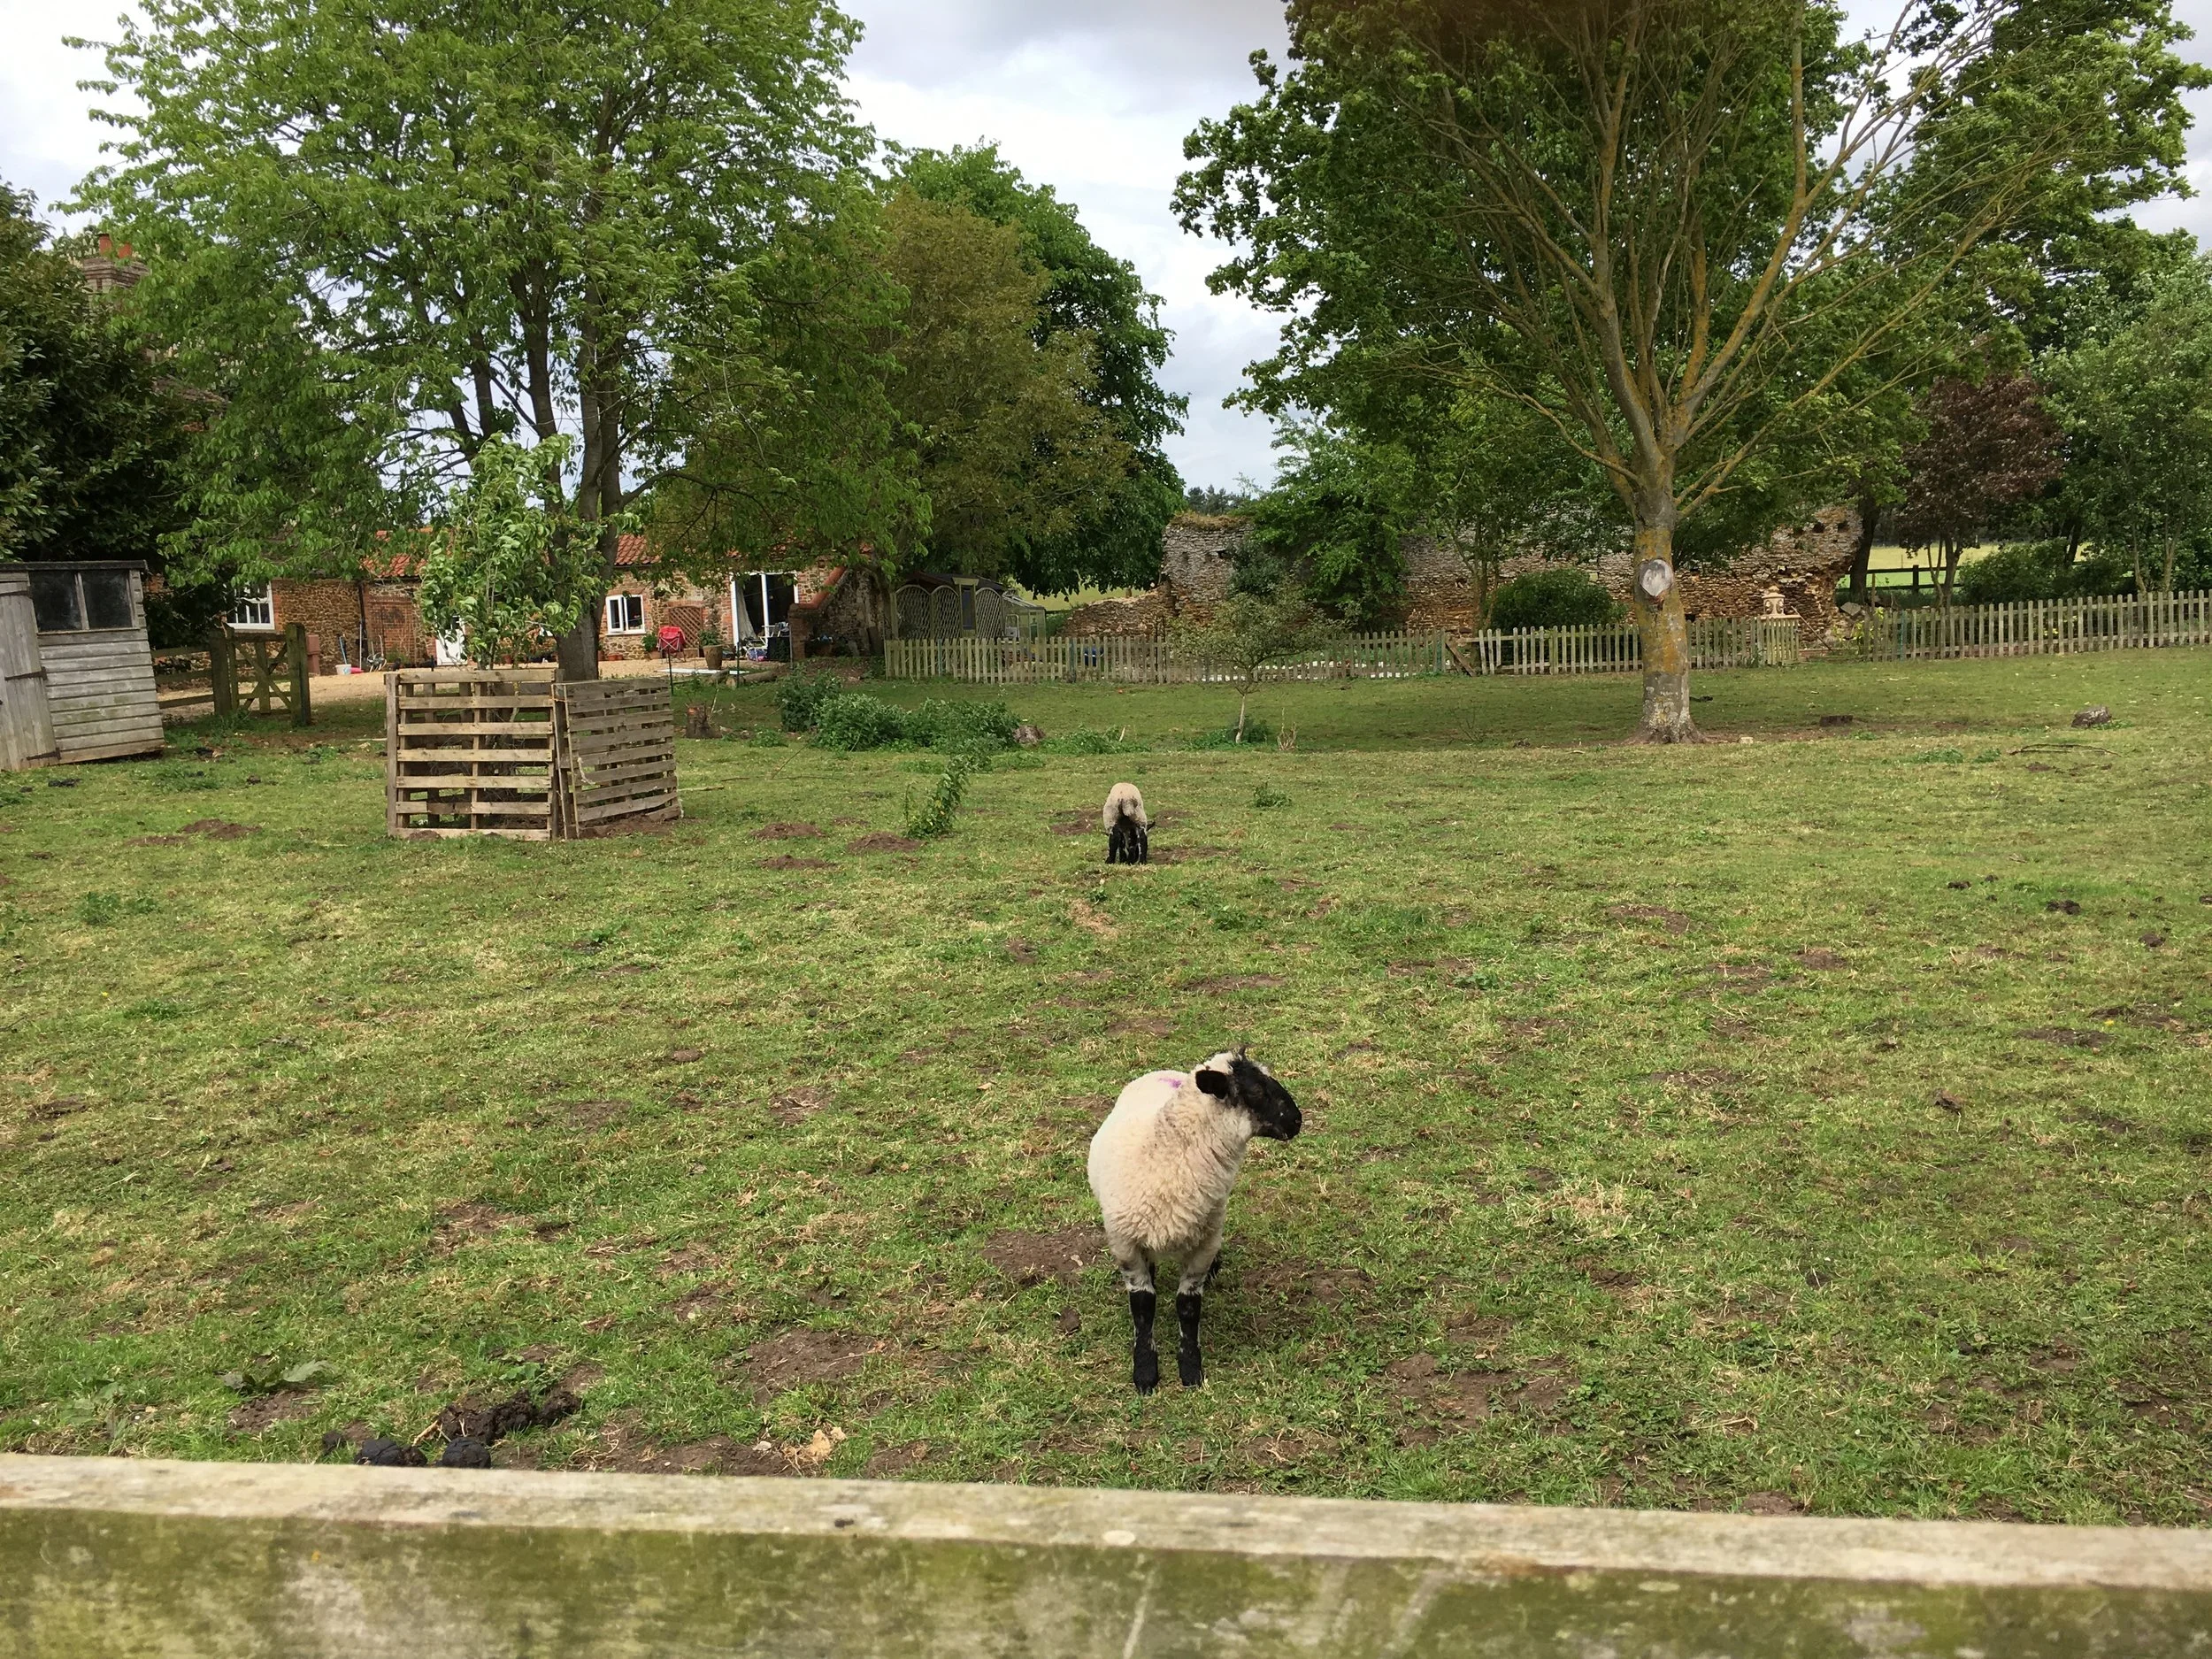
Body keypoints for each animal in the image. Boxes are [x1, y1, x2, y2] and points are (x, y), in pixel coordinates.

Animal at [1087, 1049, 1301, 1392]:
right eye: (1255, 1091)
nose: (1297, 1121)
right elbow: (1143, 1305)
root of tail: (1163, 1072)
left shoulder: (1206, 1243)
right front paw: (1145, 1371)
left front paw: (1190, 1368)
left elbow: (1188, 1307)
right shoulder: (1125, 1243)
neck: (1169, 1154)